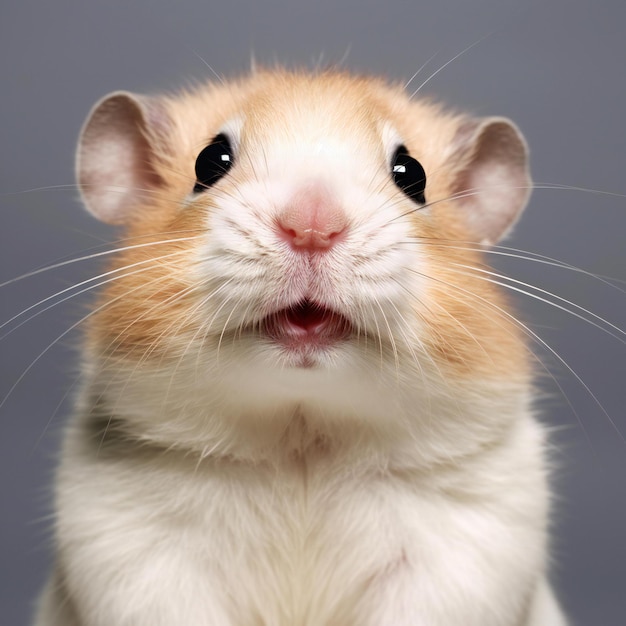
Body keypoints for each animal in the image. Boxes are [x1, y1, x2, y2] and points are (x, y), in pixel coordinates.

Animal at [33, 69, 564, 624]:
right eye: (210, 162)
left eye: (411, 174)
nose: (312, 227)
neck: (302, 435)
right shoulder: (134, 547)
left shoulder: (464, 551)